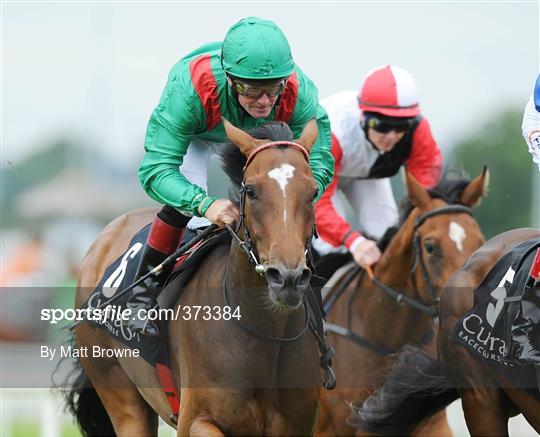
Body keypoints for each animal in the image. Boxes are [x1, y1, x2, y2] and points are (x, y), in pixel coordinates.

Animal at [67, 120, 330, 436]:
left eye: (313, 192)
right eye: (251, 191)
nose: (287, 278)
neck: (262, 331)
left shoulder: (297, 425)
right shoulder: (195, 419)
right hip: (119, 392)